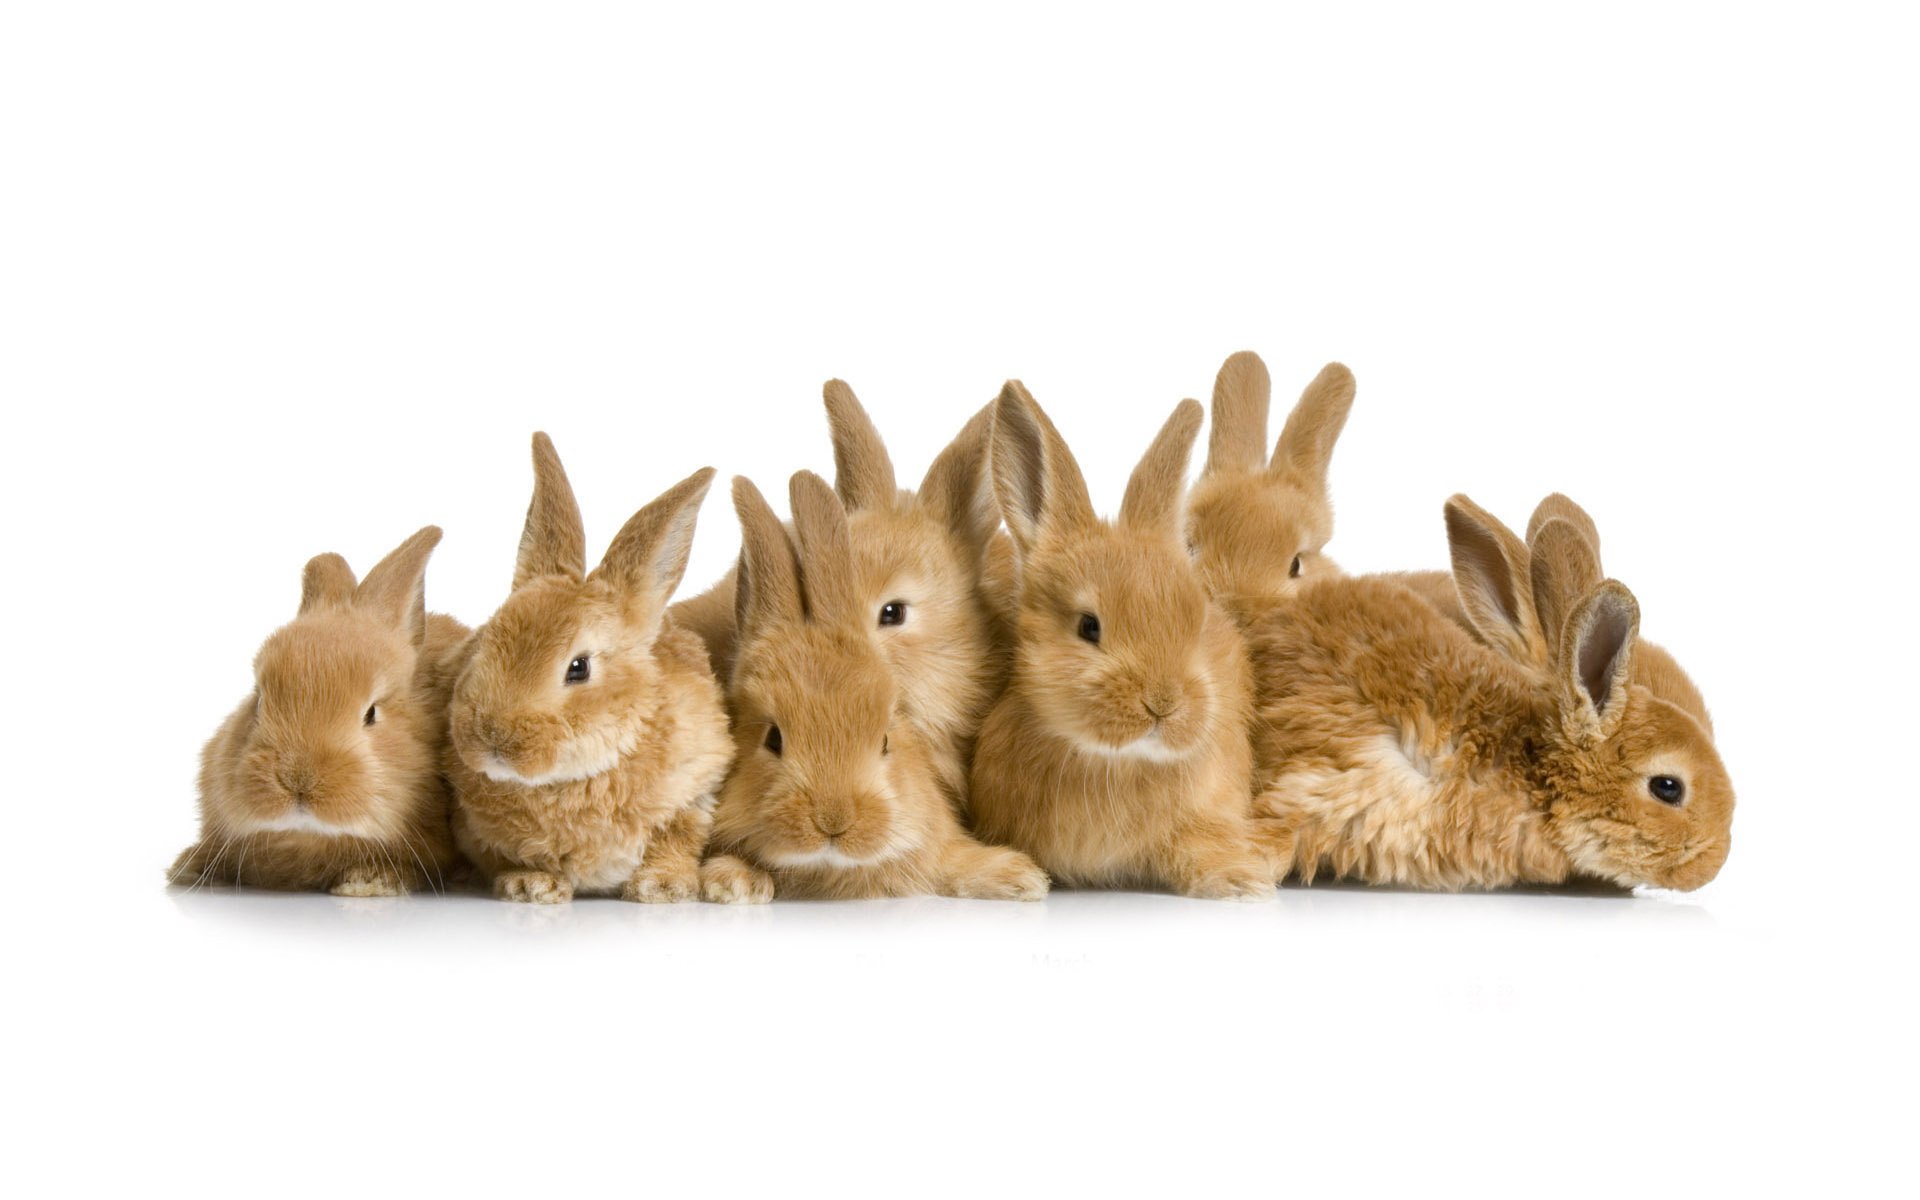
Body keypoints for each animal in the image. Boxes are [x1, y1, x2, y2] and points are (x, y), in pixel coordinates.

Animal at [445, 433, 733, 904]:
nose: (493, 739)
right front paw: (530, 885)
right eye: (484, 643)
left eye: (578, 668)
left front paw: (662, 887)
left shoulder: (696, 789)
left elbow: (676, 839)